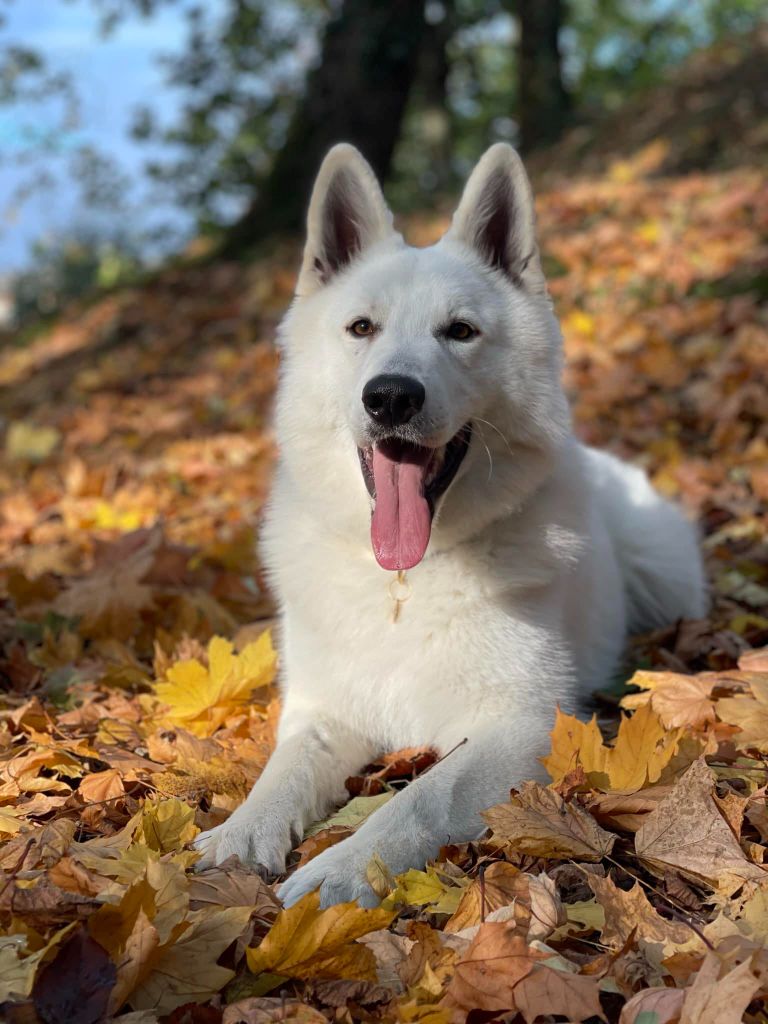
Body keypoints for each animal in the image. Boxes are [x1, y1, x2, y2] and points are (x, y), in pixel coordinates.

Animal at [193, 142, 708, 905]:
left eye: (459, 332)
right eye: (362, 328)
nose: (391, 397)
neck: (404, 583)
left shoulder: (520, 726)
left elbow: (420, 798)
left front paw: (341, 871)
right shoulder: (321, 713)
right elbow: (282, 772)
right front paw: (241, 832)